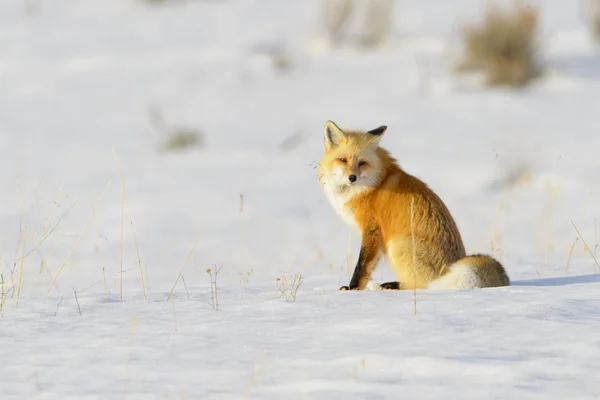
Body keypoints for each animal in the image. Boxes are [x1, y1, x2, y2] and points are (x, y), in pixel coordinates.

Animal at [316, 119, 508, 290]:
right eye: (343, 160)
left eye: (362, 163)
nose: (352, 177)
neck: (374, 184)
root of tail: (451, 266)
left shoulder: (372, 230)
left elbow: (363, 265)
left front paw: (353, 288)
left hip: (397, 245)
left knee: (421, 285)